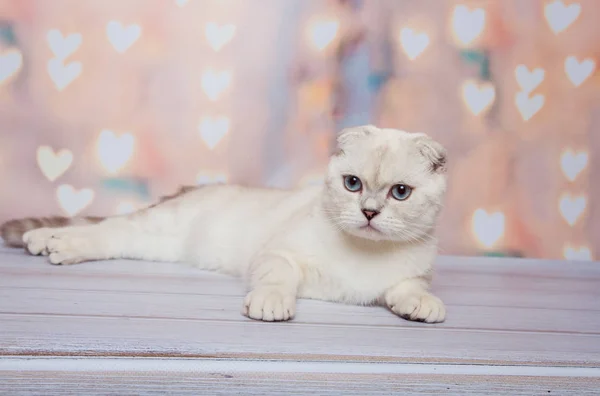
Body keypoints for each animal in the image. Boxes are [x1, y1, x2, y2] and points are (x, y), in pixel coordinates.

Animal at [2, 125, 448, 324]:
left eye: (400, 193)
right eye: (352, 184)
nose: (369, 212)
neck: (364, 253)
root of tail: (195, 187)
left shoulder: (411, 275)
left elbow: (411, 288)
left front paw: (422, 306)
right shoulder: (279, 254)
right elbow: (277, 279)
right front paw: (272, 304)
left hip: (158, 245)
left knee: (112, 236)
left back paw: (46, 242)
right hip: (160, 225)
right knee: (106, 228)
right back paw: (50, 242)